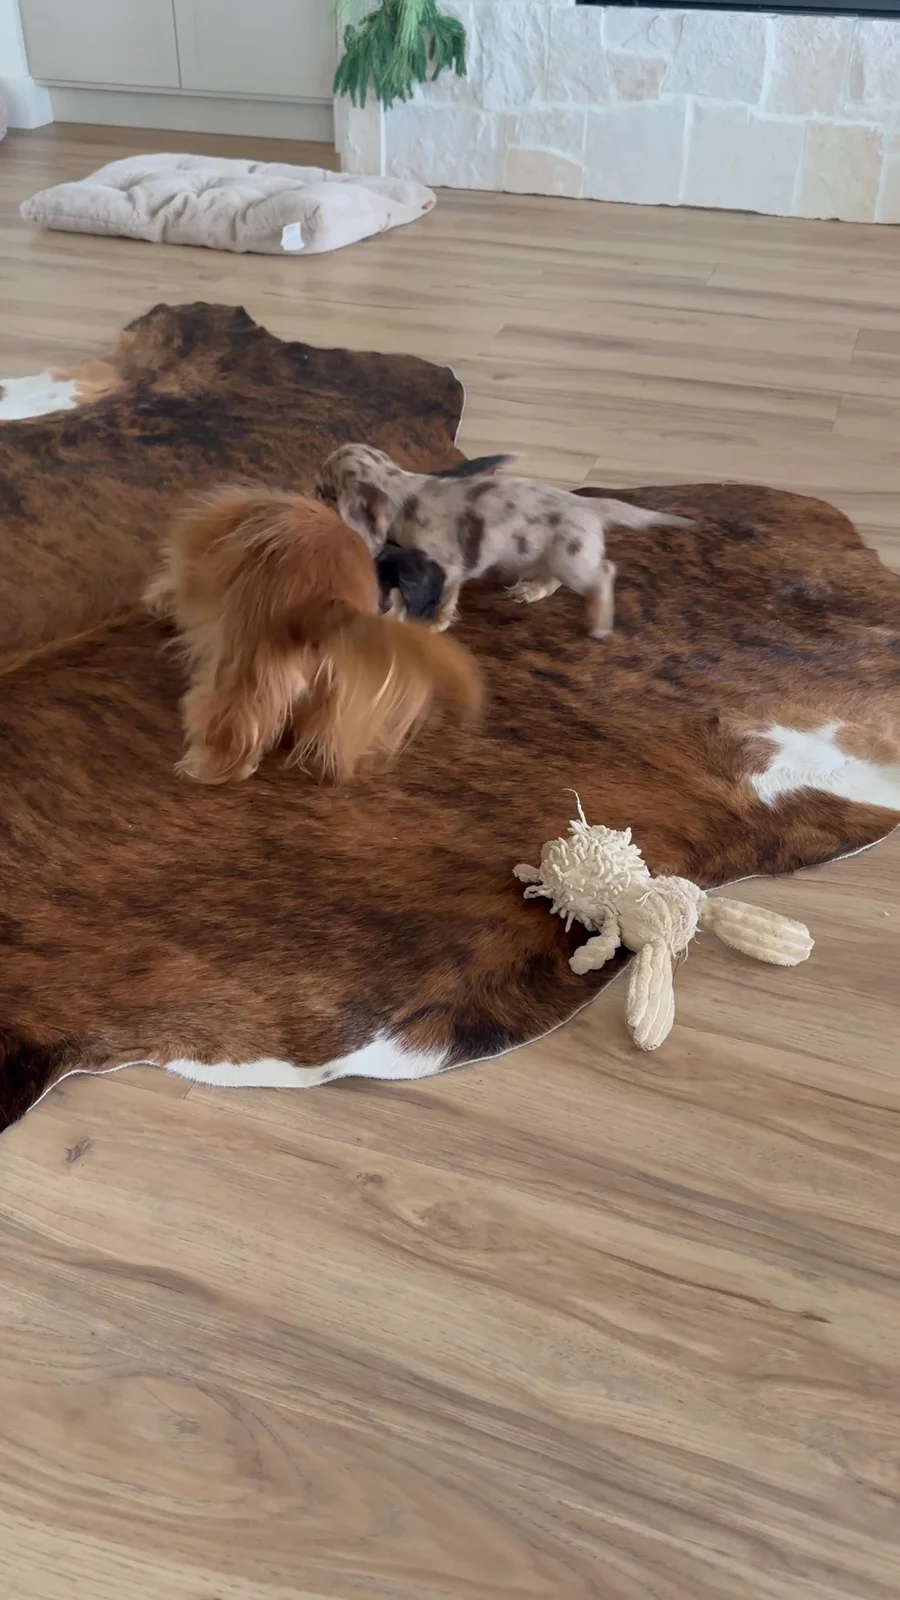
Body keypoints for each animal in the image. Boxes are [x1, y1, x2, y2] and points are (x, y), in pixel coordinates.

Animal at [143, 485, 482, 785]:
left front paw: (160, 603)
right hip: (334, 688)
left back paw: (209, 765)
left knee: (237, 722)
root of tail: (327, 603)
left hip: (247, 666)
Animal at [318, 445, 691, 637]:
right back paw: (531, 590)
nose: (310, 491)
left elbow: (444, 600)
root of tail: (589, 505)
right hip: (551, 557)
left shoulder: (448, 568)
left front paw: (436, 623)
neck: (400, 491)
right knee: (554, 578)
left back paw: (599, 621)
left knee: (605, 573)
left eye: (324, 489)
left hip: (573, 561)